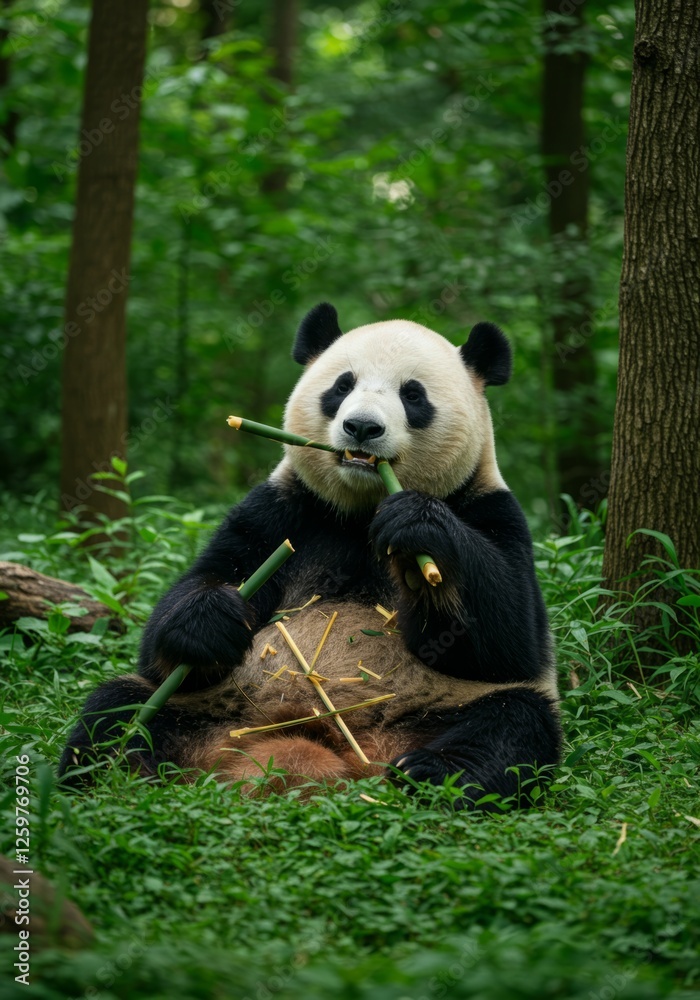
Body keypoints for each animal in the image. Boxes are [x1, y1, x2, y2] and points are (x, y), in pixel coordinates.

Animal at [59, 302, 561, 809]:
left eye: (413, 395)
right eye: (342, 386)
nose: (362, 427)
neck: (361, 512)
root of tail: (316, 749)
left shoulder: (491, 510)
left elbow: (507, 641)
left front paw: (417, 526)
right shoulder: (281, 511)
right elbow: (184, 611)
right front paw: (208, 621)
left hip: (439, 708)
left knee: (513, 722)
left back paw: (431, 774)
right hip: (205, 708)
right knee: (119, 709)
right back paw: (111, 775)